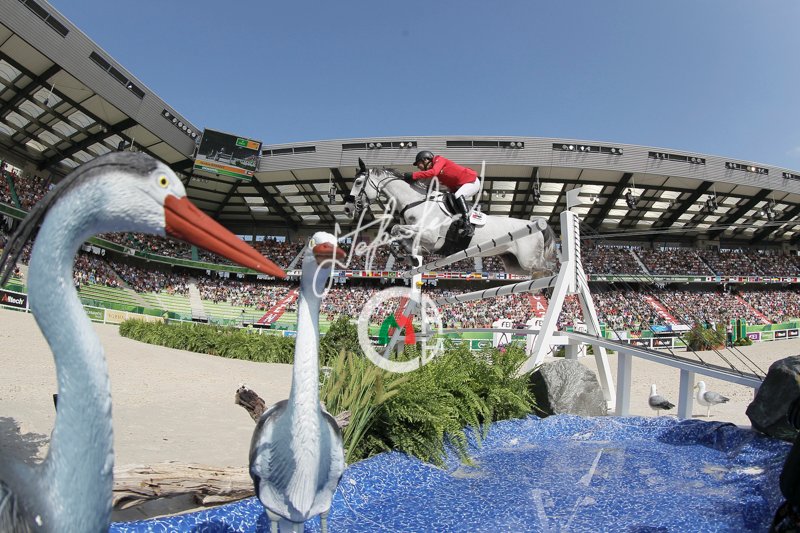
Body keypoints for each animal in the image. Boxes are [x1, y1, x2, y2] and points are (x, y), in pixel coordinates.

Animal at [343, 159, 557, 277]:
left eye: (358, 182)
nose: (347, 208)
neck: (416, 202)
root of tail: (536, 224)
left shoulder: (430, 237)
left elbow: (395, 229)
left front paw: (403, 251)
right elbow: (397, 234)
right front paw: (402, 252)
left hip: (528, 259)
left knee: (548, 268)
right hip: (514, 264)